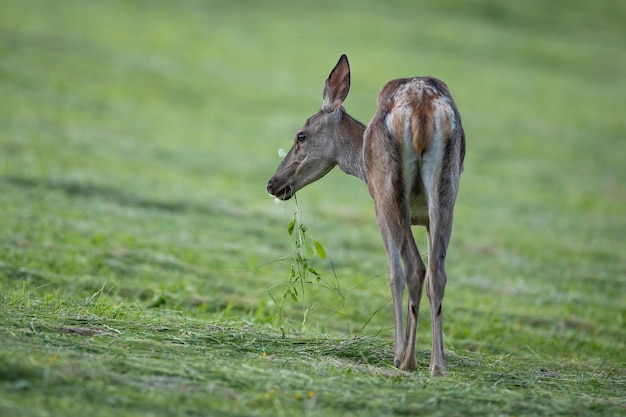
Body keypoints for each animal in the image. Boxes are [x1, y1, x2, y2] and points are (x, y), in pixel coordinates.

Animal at [264, 52, 464, 374]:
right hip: (447, 191)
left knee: (413, 267)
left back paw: (407, 361)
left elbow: (393, 274)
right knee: (438, 272)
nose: (273, 184)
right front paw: (436, 357)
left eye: (300, 135)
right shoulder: (428, 217)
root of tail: (421, 106)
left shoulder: (377, 205)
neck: (360, 164)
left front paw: (397, 352)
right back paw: (438, 366)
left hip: (389, 190)